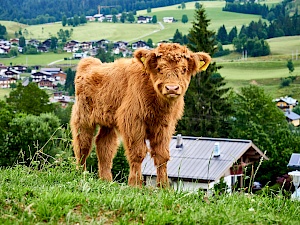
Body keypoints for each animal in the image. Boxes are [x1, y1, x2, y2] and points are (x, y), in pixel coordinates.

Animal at [70, 43, 211, 187]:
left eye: (184, 69)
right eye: (159, 68)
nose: (172, 88)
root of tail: (89, 64)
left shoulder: (165, 126)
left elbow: (162, 155)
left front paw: (163, 186)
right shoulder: (134, 122)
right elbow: (138, 153)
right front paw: (136, 184)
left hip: (107, 122)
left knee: (104, 147)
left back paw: (106, 180)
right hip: (83, 119)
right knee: (82, 146)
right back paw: (81, 175)